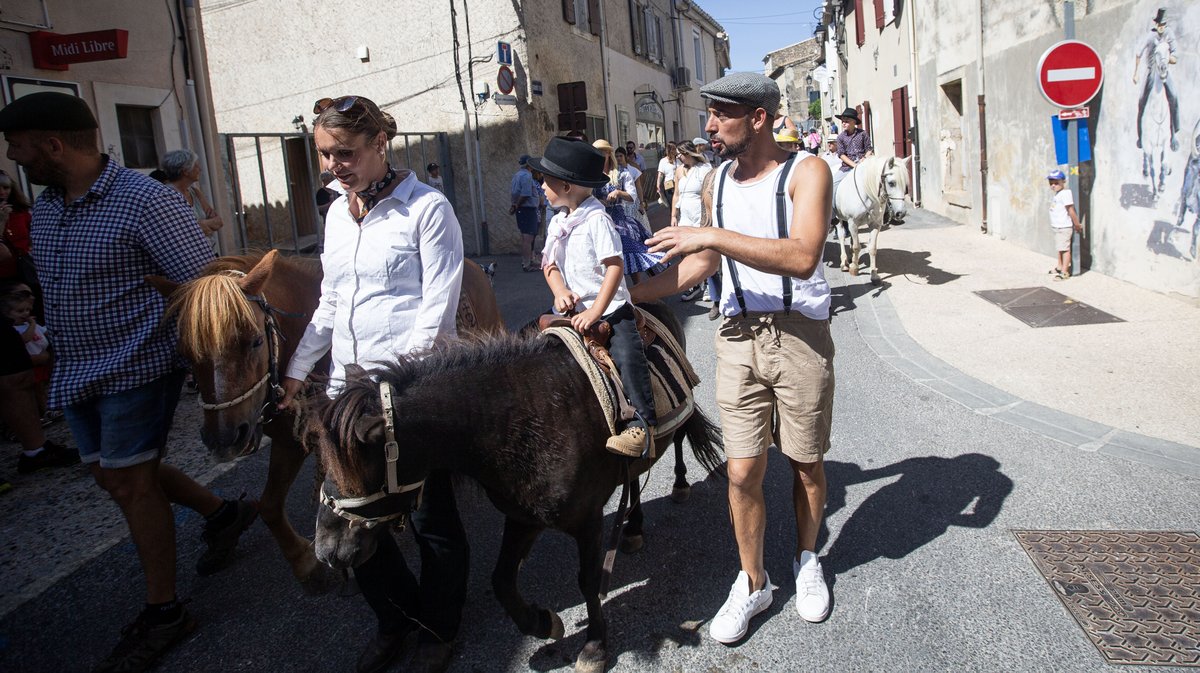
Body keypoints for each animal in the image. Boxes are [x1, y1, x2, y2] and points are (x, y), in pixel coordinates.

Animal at [152, 250, 504, 587]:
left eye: (254, 341)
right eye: (184, 353)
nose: (225, 438)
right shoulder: (291, 441)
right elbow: (270, 505)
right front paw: (307, 564)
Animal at [309, 302, 720, 667]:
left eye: (364, 468)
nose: (327, 550)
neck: (522, 418)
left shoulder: (587, 520)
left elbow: (589, 581)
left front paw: (594, 648)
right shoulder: (523, 517)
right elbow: (502, 580)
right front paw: (543, 623)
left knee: (681, 438)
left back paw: (679, 486)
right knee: (634, 477)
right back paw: (633, 528)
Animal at [835, 154, 907, 283]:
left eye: (905, 184)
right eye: (891, 183)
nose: (901, 213)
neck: (867, 193)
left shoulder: (875, 224)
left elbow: (872, 248)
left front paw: (874, 275)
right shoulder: (852, 223)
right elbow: (857, 247)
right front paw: (854, 268)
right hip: (838, 218)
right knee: (841, 236)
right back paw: (844, 263)